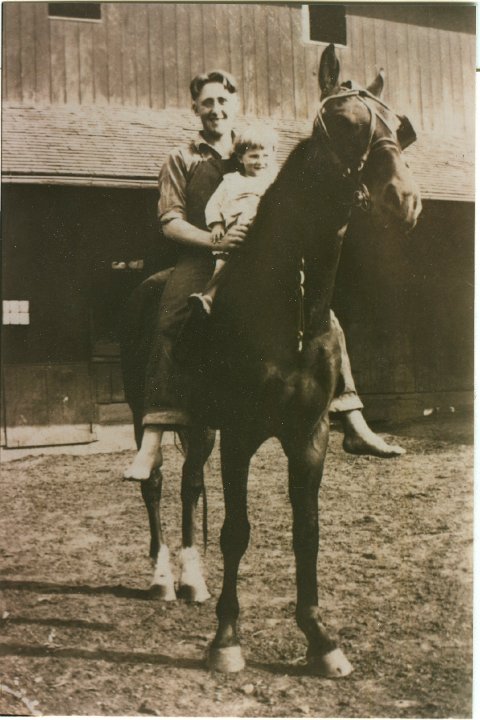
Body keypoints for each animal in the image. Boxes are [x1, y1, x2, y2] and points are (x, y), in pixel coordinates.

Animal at [123, 43, 420, 676]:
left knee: (189, 485)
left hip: (202, 426)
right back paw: (163, 578)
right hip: (147, 411)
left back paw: (192, 580)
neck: (288, 304)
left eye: (400, 127)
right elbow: (237, 530)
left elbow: (306, 531)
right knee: (155, 482)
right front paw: (227, 639)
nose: (403, 201)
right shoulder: (239, 432)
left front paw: (320, 639)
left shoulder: (308, 434)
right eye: (347, 123)